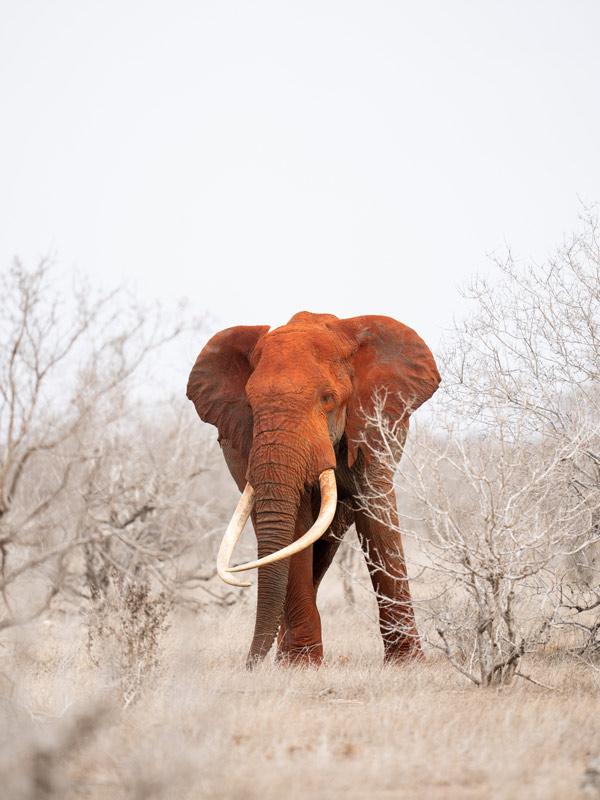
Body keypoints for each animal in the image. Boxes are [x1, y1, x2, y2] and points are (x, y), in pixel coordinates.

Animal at [187, 312, 440, 669]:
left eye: (328, 398)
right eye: (250, 403)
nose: (249, 666)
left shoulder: (373, 424)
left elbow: (378, 516)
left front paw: (409, 665)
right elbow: (295, 528)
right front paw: (301, 666)